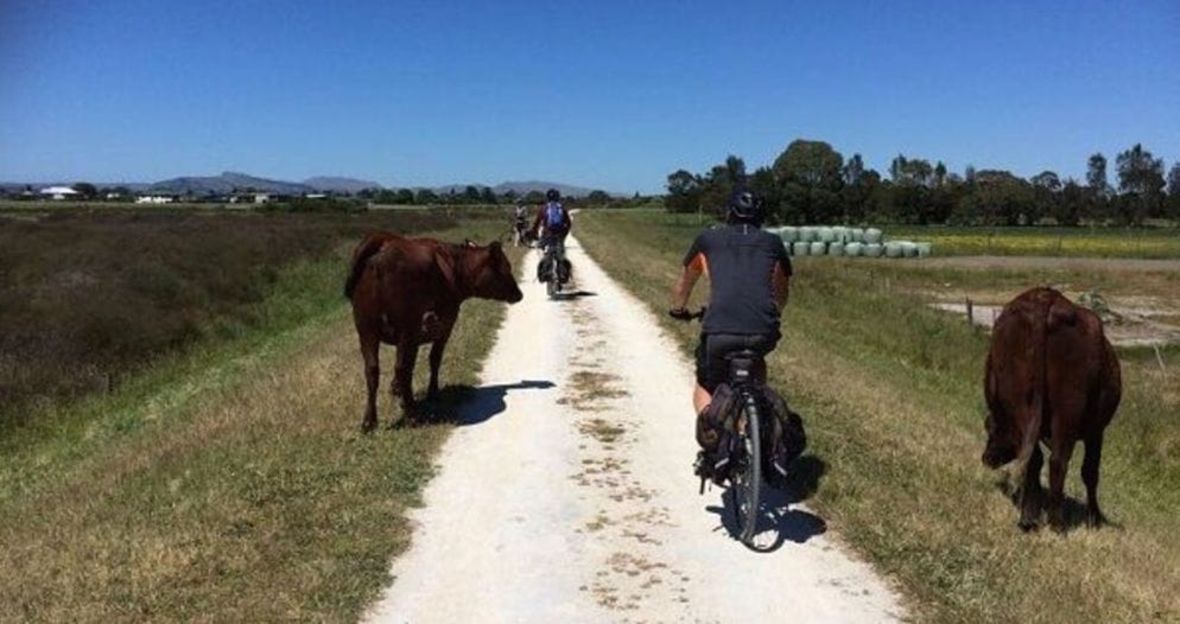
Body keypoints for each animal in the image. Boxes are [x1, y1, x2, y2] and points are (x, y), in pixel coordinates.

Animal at [344, 231, 523, 431]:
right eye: (506, 267)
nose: (519, 294)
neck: (454, 266)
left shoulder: (411, 338)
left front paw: (396, 389)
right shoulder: (445, 326)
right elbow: (434, 358)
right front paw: (432, 392)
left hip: (366, 330)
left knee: (372, 370)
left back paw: (370, 421)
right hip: (405, 328)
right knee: (402, 368)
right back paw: (411, 413)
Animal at [981, 286, 1118, 530]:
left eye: (991, 429)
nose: (986, 458)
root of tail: (1045, 297)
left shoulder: (1095, 431)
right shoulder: (1096, 431)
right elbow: (1090, 471)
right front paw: (1094, 517)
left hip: (1029, 407)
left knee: (1039, 459)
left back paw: (1034, 518)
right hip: (1066, 408)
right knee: (1055, 460)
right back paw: (1053, 521)